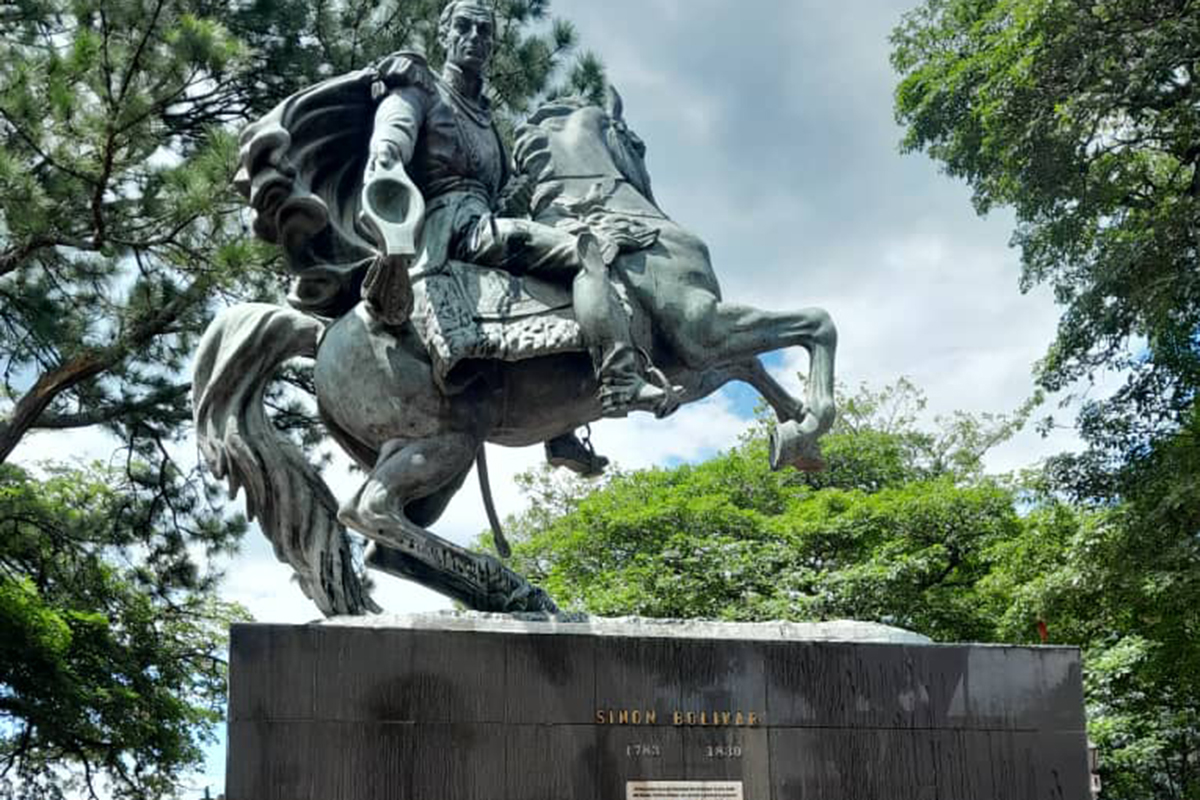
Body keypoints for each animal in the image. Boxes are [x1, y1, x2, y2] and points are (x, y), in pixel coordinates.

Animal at [194, 87, 835, 618]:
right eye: (639, 144)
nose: (651, 184)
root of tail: (321, 333)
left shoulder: (697, 358)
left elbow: (756, 365)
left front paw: (795, 436)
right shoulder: (704, 330)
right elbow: (816, 324)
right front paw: (810, 423)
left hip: (433, 460)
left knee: (387, 547)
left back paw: (515, 592)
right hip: (440, 444)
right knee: (368, 510)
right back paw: (503, 582)